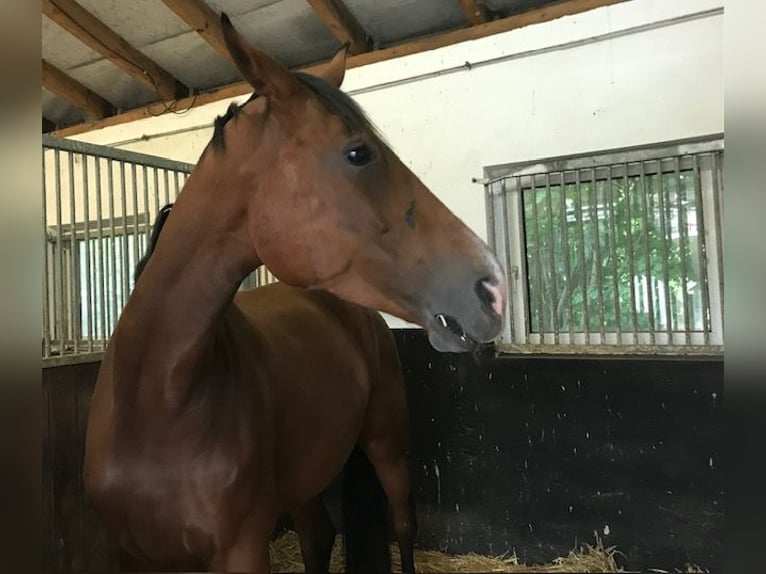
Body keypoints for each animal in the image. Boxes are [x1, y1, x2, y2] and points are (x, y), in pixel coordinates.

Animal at [83, 13, 507, 573]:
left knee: (401, 525)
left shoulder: (243, 547)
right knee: (318, 537)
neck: (155, 398)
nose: (492, 286)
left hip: (387, 442)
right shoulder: (130, 553)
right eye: (358, 153)